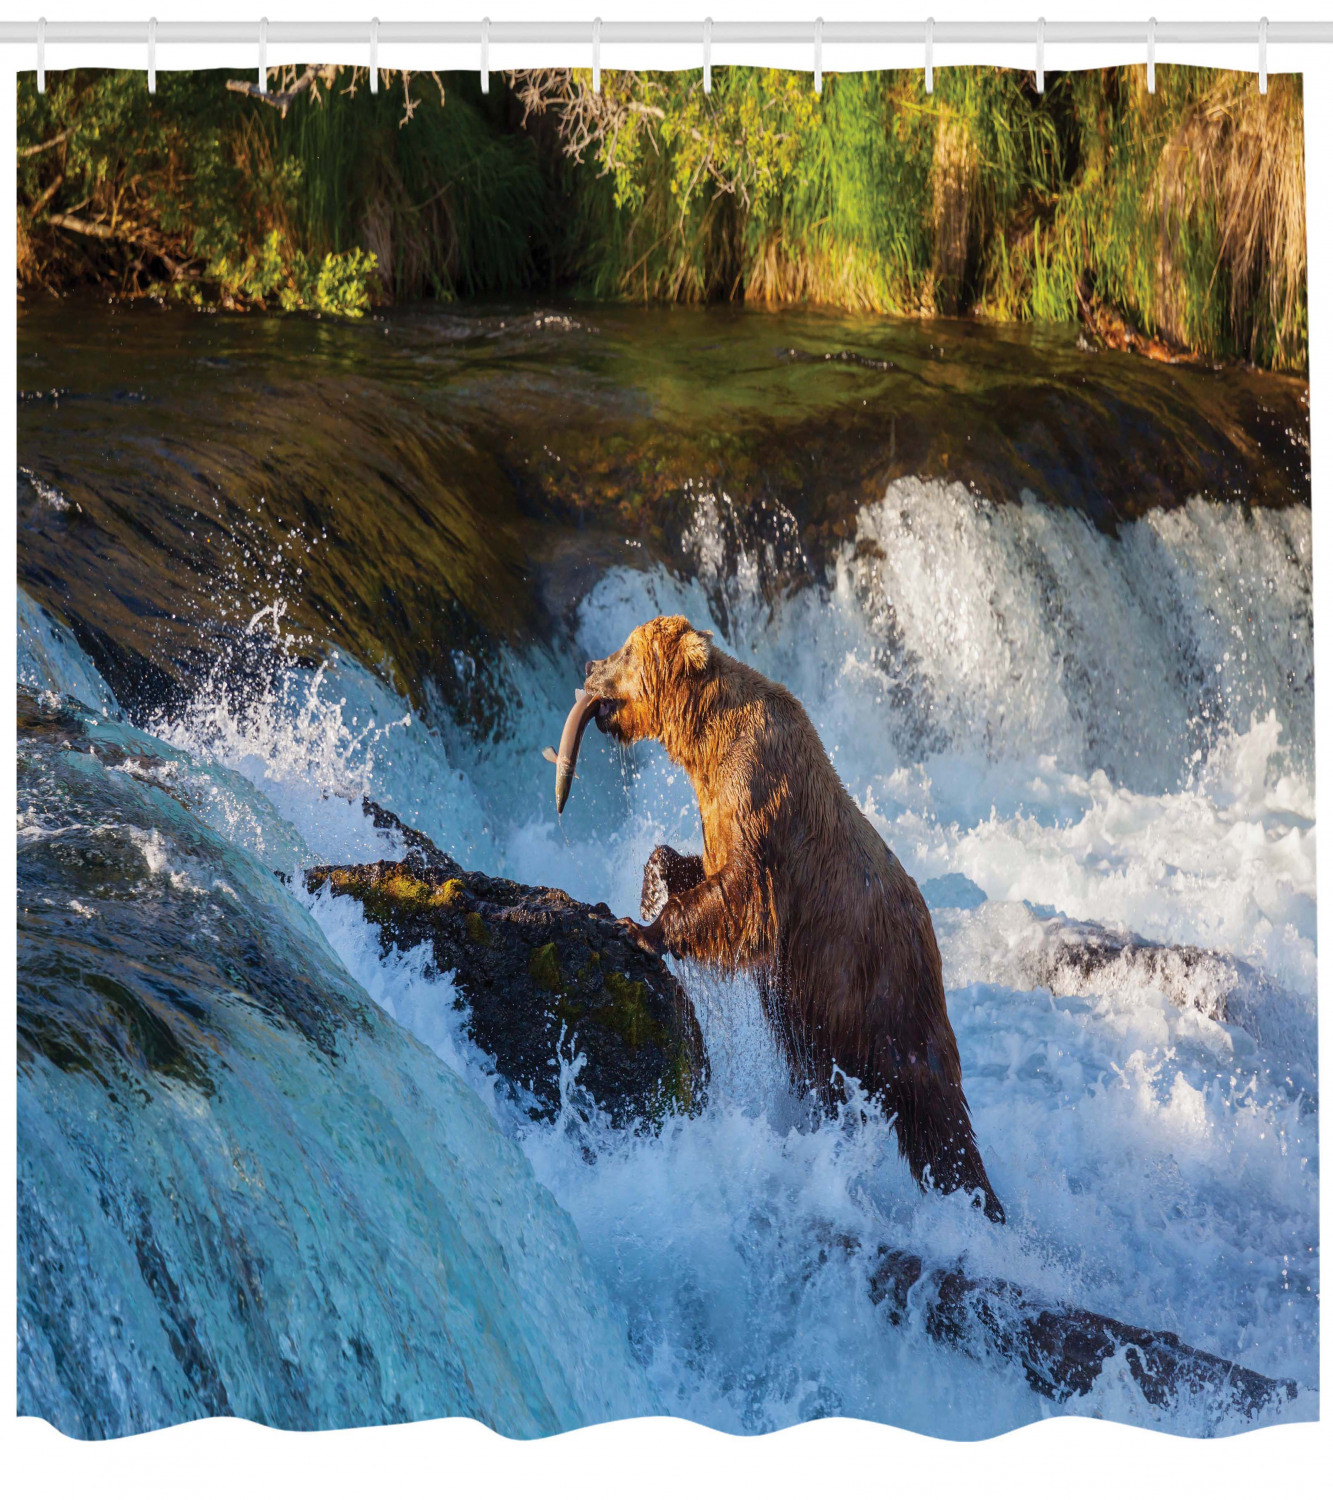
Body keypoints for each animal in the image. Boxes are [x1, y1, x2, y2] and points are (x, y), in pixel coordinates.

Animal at [583, 613, 1005, 1223]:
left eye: (626, 651)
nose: (590, 667)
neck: (706, 742)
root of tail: (933, 939)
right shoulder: (718, 812)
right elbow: (698, 866)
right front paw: (652, 886)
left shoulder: (762, 801)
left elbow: (742, 895)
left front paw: (642, 930)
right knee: (827, 1082)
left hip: (881, 988)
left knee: (934, 1109)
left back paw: (978, 1203)